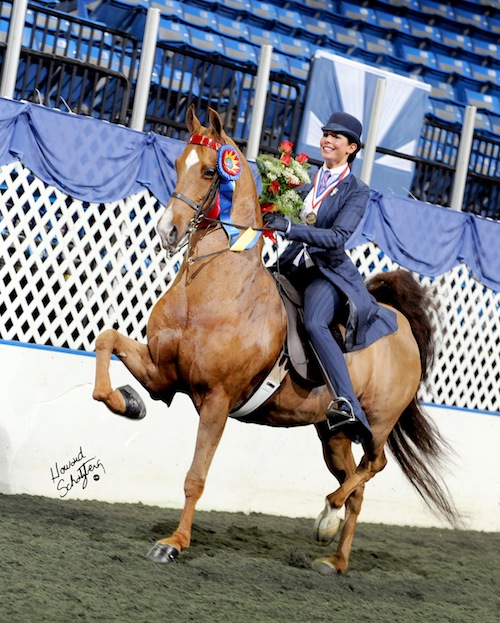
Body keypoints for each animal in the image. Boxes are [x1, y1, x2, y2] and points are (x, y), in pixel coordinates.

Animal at [92, 106, 458, 576]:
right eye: (176, 165)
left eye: (209, 171)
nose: (167, 231)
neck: (210, 285)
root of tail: (400, 325)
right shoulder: (163, 374)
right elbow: (106, 342)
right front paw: (128, 401)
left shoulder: (217, 399)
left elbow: (196, 476)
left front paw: (173, 543)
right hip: (332, 435)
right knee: (356, 486)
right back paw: (334, 559)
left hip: (377, 423)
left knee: (372, 465)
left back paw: (326, 516)